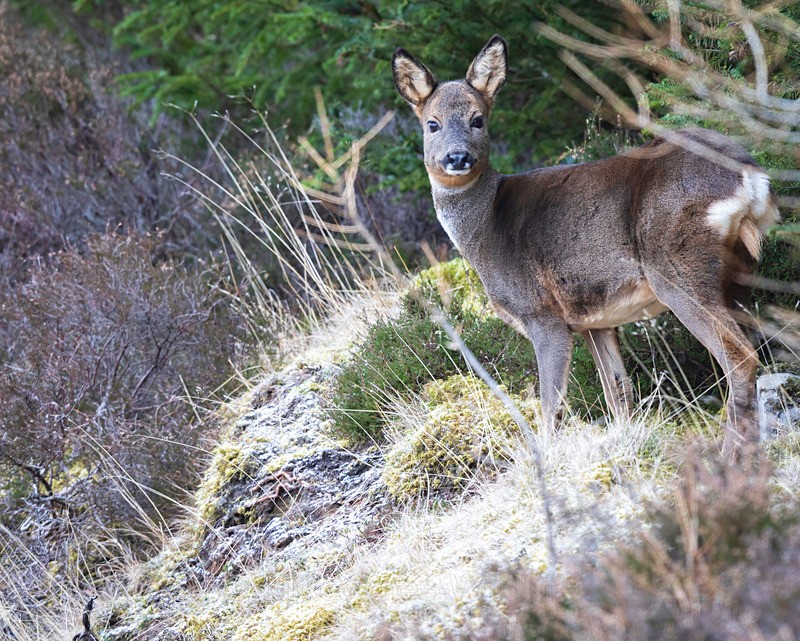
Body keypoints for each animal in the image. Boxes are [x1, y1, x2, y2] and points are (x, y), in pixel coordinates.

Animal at [392, 34, 780, 457]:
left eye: (478, 119)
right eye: (432, 124)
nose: (457, 157)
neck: (486, 229)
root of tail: (749, 175)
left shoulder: (543, 314)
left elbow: (551, 405)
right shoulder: (596, 319)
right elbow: (619, 393)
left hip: (678, 268)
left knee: (739, 357)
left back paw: (727, 457)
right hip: (739, 272)